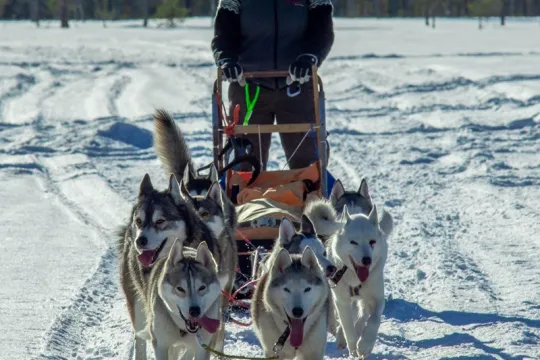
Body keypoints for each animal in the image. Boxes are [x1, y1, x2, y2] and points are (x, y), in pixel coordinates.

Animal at [324, 204, 392, 358]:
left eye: (372, 242)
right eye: (353, 242)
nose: (367, 260)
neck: (355, 278)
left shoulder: (378, 298)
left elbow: (374, 320)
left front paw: (365, 345)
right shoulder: (341, 300)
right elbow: (347, 325)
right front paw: (353, 347)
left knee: (363, 314)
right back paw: (342, 338)